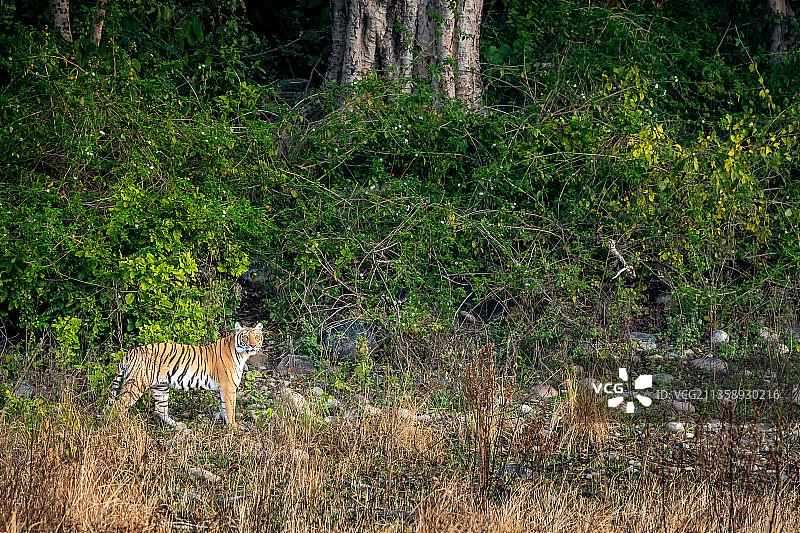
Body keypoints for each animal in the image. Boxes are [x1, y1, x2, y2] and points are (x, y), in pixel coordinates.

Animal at [109, 322, 264, 429]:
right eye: (246, 337)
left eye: (256, 336)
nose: (253, 346)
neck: (242, 355)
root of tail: (131, 352)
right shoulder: (228, 387)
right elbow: (230, 408)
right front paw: (233, 427)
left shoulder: (221, 389)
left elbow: (223, 407)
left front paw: (226, 424)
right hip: (136, 384)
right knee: (118, 406)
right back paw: (119, 426)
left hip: (160, 387)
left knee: (160, 410)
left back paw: (178, 425)